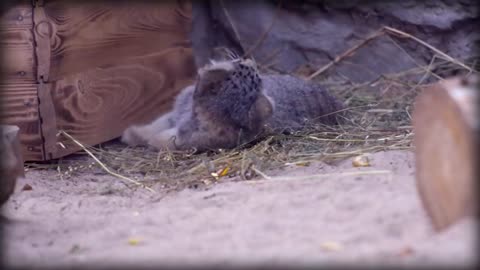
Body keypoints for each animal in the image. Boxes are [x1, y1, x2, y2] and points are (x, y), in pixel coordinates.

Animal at [122, 58, 344, 152]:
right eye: (242, 65)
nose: (250, 59)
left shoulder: (186, 138)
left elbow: (163, 139)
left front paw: (146, 140)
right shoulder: (173, 115)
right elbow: (154, 125)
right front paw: (131, 134)